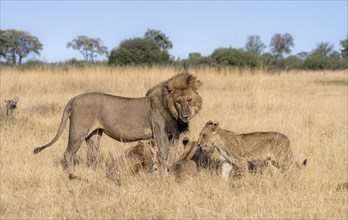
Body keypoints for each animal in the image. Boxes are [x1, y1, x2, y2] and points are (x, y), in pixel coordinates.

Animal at [34, 73, 203, 174]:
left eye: (189, 100)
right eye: (178, 101)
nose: (186, 116)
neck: (172, 113)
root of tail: (75, 98)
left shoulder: (173, 136)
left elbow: (173, 155)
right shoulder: (160, 135)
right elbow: (164, 155)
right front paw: (164, 174)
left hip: (94, 134)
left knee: (92, 155)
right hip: (77, 133)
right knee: (68, 153)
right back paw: (69, 173)